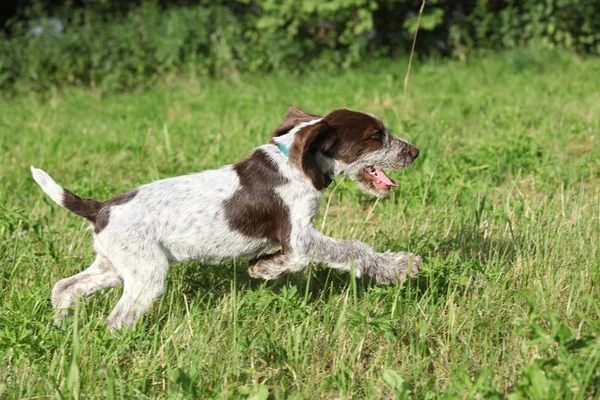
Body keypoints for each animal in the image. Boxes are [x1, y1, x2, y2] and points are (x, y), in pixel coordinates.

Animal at [31, 104, 422, 330]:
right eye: (377, 136)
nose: (416, 152)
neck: (301, 162)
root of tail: (101, 208)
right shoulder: (299, 235)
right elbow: (353, 248)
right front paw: (398, 267)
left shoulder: (296, 241)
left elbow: (290, 261)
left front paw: (264, 268)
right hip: (147, 273)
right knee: (116, 319)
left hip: (114, 265)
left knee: (64, 287)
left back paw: (61, 324)